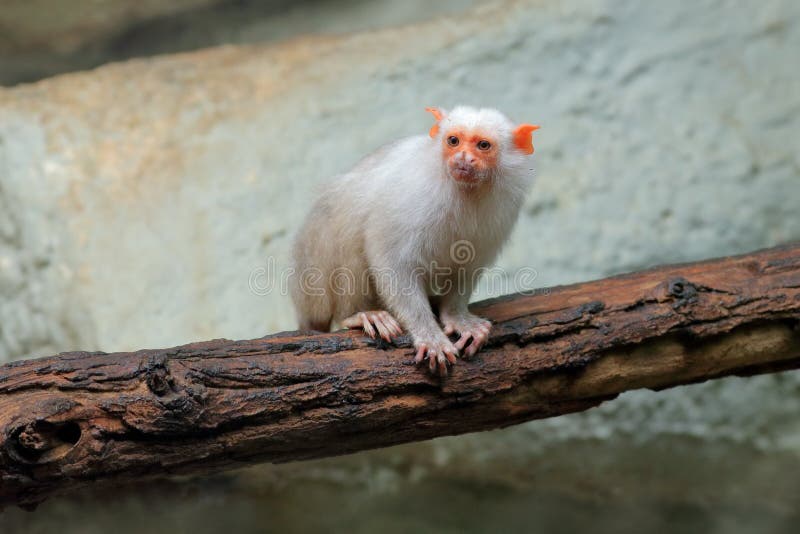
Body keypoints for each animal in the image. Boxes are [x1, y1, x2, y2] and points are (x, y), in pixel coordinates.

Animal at [290, 105, 540, 376]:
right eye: (453, 141)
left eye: (483, 145)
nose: (463, 158)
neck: (464, 192)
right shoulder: (410, 200)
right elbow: (392, 262)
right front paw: (429, 335)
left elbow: (468, 266)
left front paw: (457, 317)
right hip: (315, 283)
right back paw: (361, 314)